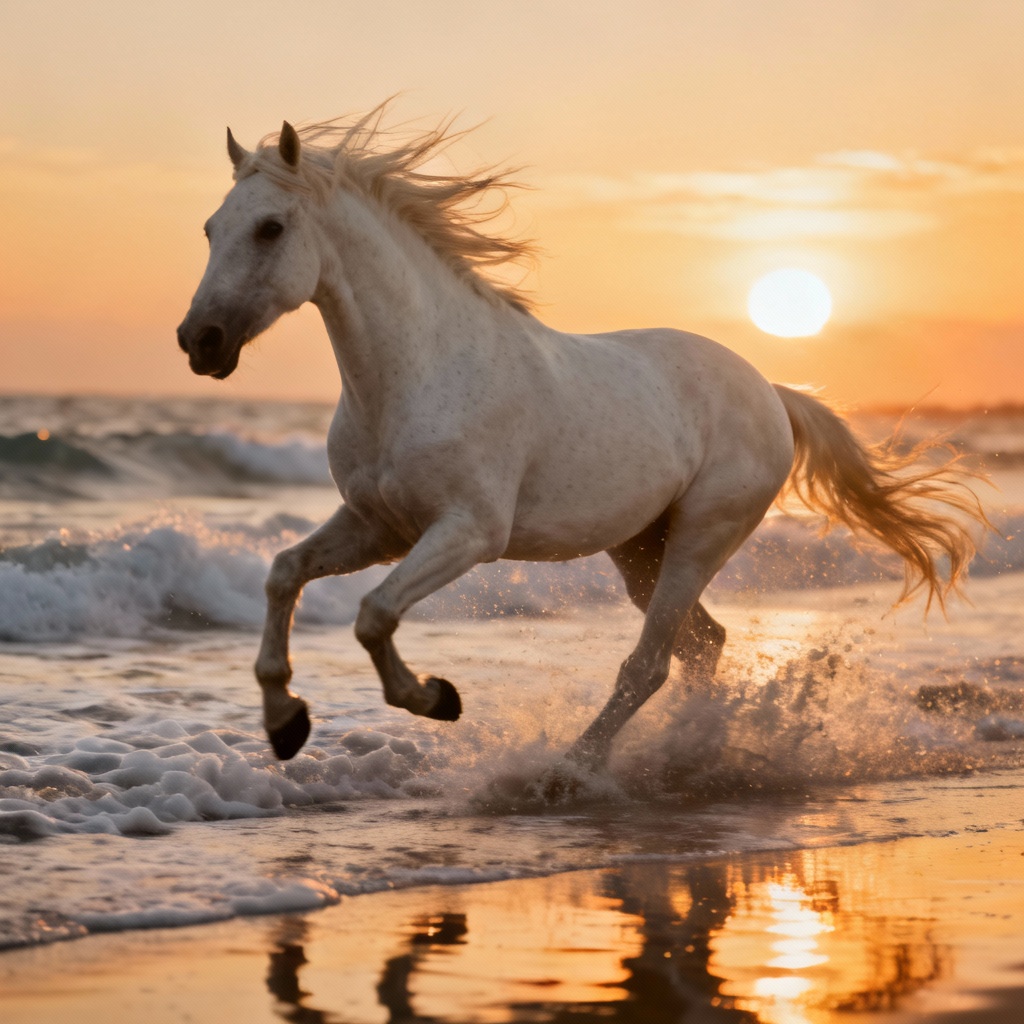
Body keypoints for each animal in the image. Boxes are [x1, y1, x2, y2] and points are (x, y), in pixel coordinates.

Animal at [176, 106, 987, 771]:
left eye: (271, 228)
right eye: (211, 228)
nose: (199, 342)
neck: (416, 373)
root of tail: (770, 391)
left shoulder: (469, 532)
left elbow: (374, 616)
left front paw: (437, 697)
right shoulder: (378, 525)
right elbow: (283, 572)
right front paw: (285, 724)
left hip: (701, 536)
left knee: (651, 663)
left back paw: (573, 770)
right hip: (639, 549)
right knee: (702, 646)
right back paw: (693, 752)